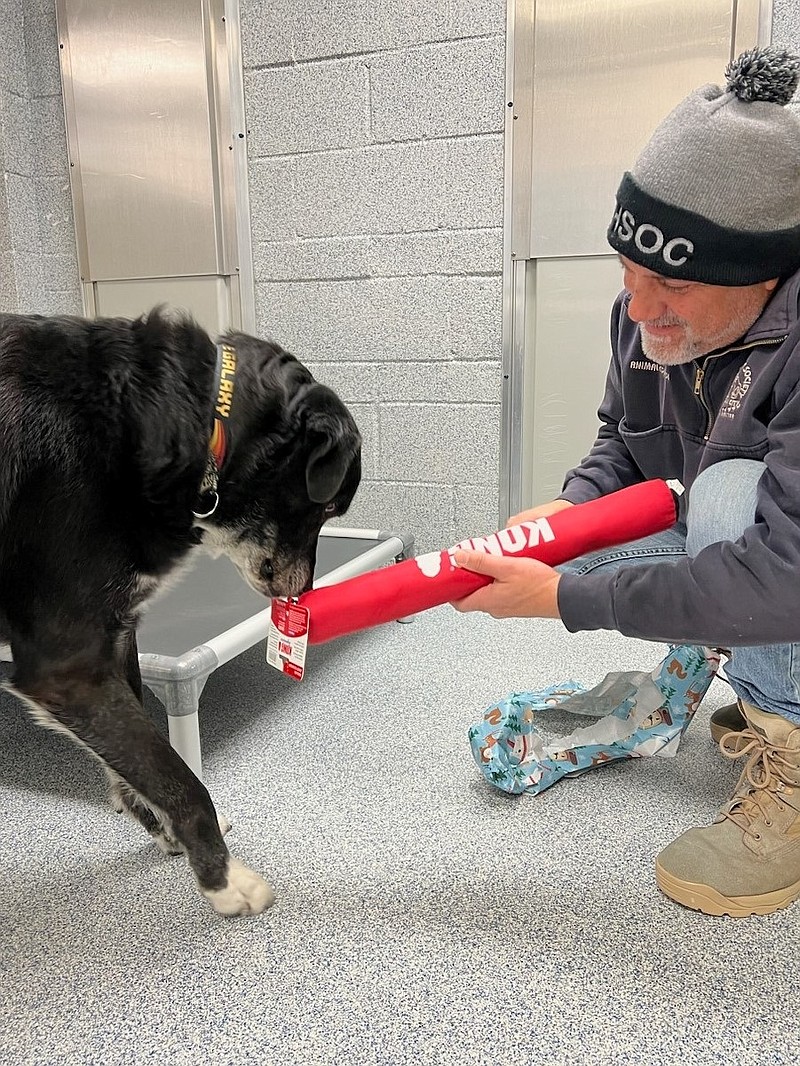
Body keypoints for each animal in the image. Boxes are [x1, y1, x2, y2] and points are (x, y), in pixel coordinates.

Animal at [0, 309, 362, 916]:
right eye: (330, 505)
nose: (308, 591)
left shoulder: (118, 635)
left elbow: (138, 763)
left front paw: (162, 830)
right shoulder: (68, 668)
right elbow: (180, 778)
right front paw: (223, 879)